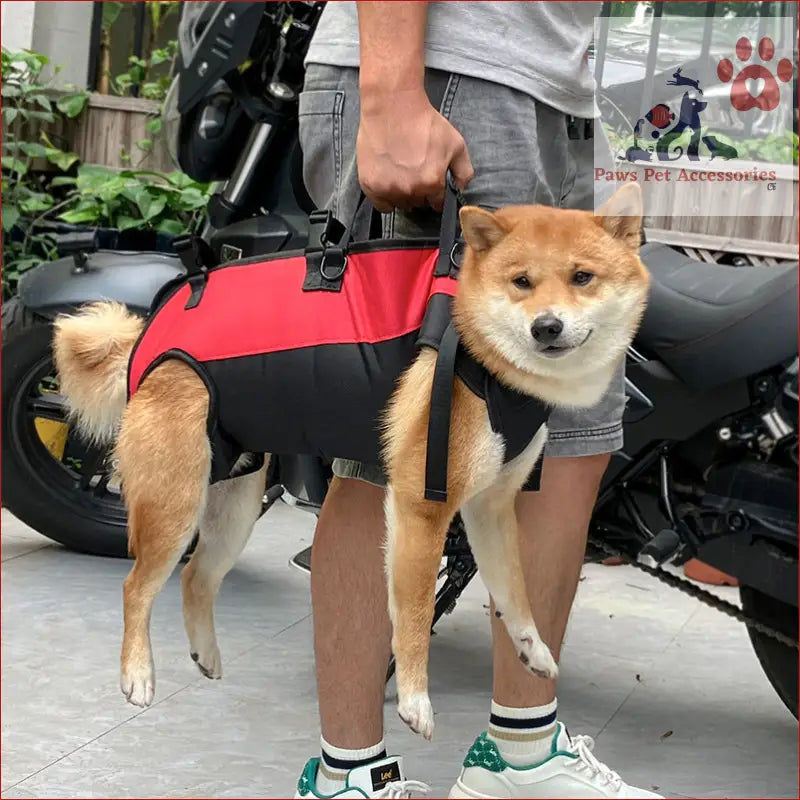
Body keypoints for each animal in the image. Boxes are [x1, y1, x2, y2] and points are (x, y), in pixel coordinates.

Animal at [53, 184, 648, 740]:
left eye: (582, 277)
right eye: (521, 282)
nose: (546, 327)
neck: (482, 355)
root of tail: (147, 336)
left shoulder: (491, 507)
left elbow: (514, 591)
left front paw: (532, 648)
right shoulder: (421, 508)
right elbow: (413, 617)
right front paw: (414, 699)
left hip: (235, 502)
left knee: (197, 577)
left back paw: (206, 654)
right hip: (175, 505)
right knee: (136, 586)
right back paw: (137, 674)